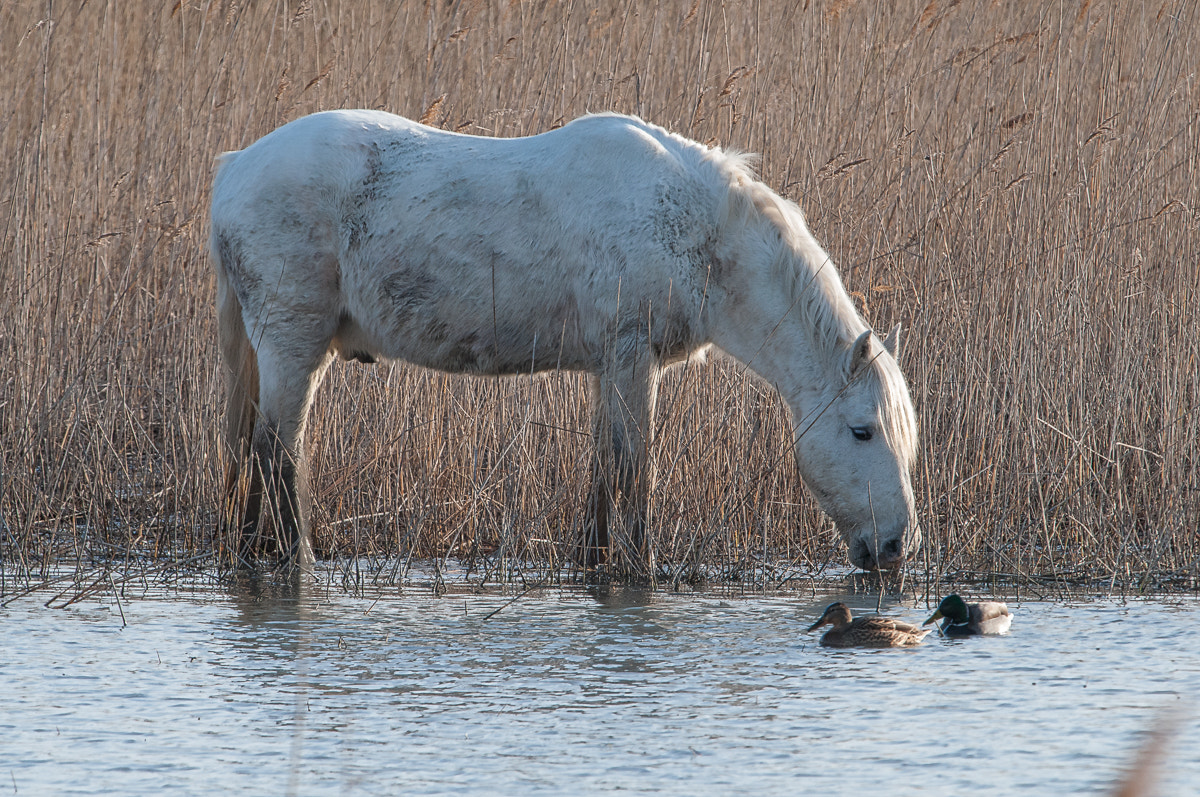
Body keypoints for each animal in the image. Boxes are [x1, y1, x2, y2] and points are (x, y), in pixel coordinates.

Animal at [210, 109, 920, 575]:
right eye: (862, 432)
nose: (894, 548)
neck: (702, 232)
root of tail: (237, 168)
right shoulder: (631, 358)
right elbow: (633, 471)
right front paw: (639, 570)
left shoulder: (611, 367)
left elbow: (605, 471)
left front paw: (594, 562)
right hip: (292, 346)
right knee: (277, 455)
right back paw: (298, 561)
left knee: (255, 455)